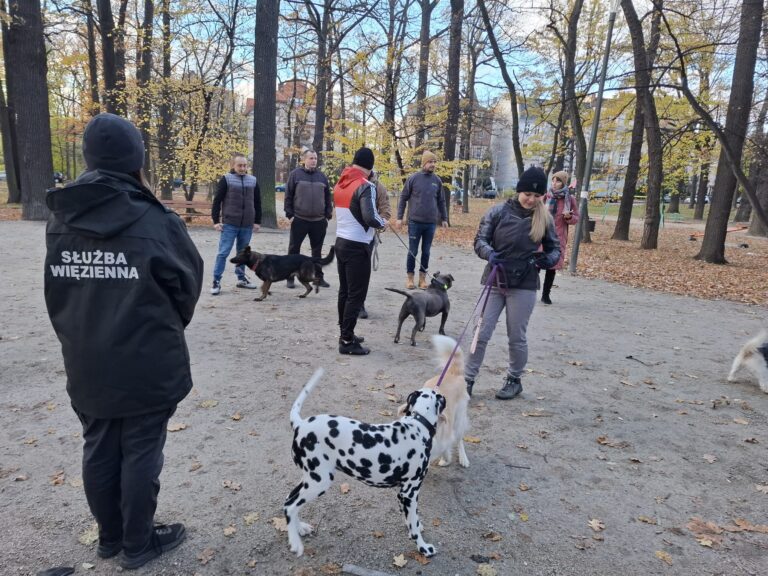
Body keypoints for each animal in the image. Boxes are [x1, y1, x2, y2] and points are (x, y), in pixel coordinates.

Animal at [284, 368, 448, 560]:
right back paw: (295, 543)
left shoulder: (402, 493)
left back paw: (300, 529)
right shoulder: (410, 491)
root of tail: (300, 424)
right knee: (290, 506)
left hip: (310, 479)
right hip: (319, 482)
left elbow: (411, 518)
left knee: (289, 500)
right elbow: (413, 526)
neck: (417, 424)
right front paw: (423, 548)